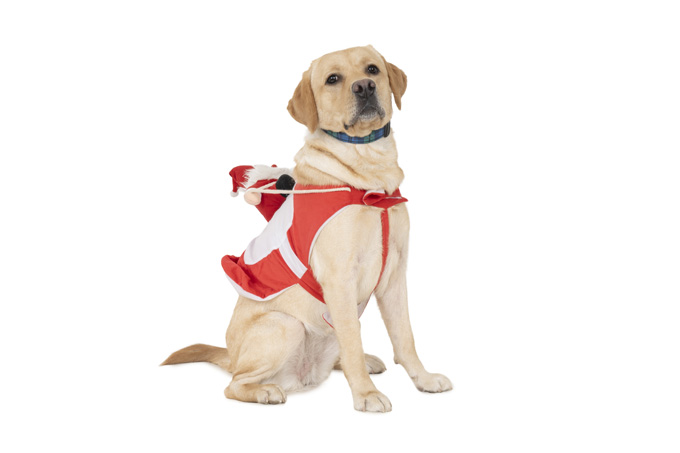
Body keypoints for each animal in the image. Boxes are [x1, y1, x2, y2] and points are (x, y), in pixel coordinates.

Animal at [162, 45, 452, 412]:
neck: (368, 174)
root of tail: (232, 355)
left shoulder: (395, 275)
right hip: (285, 325)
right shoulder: (339, 279)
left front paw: (423, 379)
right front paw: (366, 394)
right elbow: (353, 343)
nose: (364, 87)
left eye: (372, 69)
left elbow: (405, 337)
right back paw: (265, 391)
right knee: (234, 384)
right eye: (333, 79)